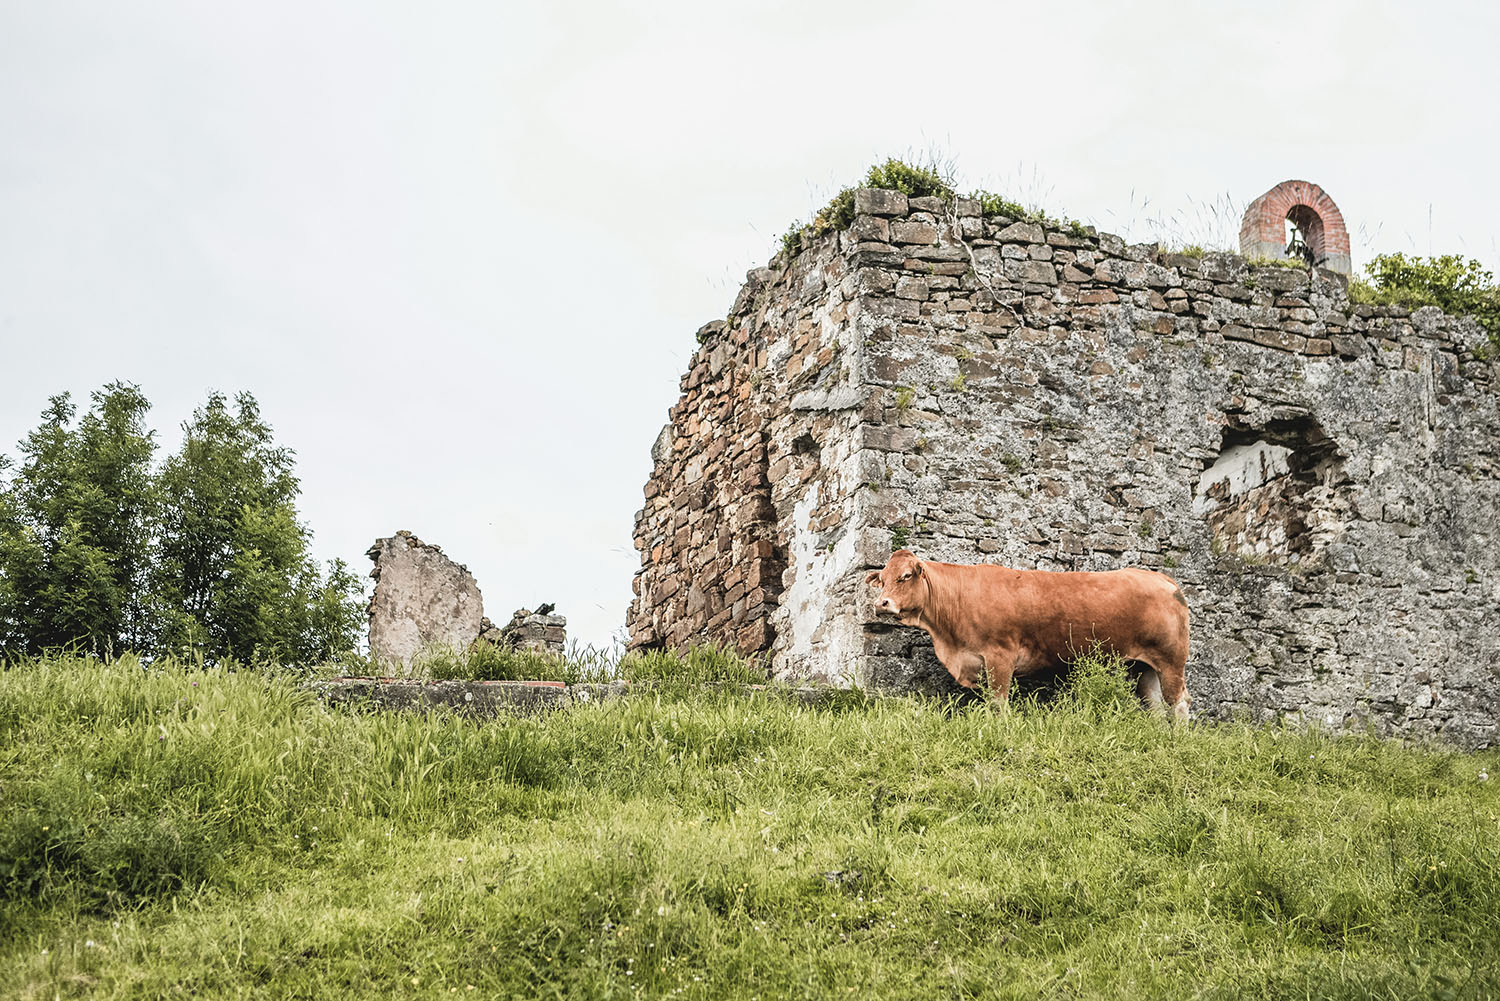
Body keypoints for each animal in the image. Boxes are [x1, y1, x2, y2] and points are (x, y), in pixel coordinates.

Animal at [864, 549, 1188, 720]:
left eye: (906, 576)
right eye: (881, 579)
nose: (881, 604)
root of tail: (1162, 578)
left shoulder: (1000, 655)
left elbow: (998, 703)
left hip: (1171, 660)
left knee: (1178, 703)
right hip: (1143, 666)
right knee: (1155, 706)